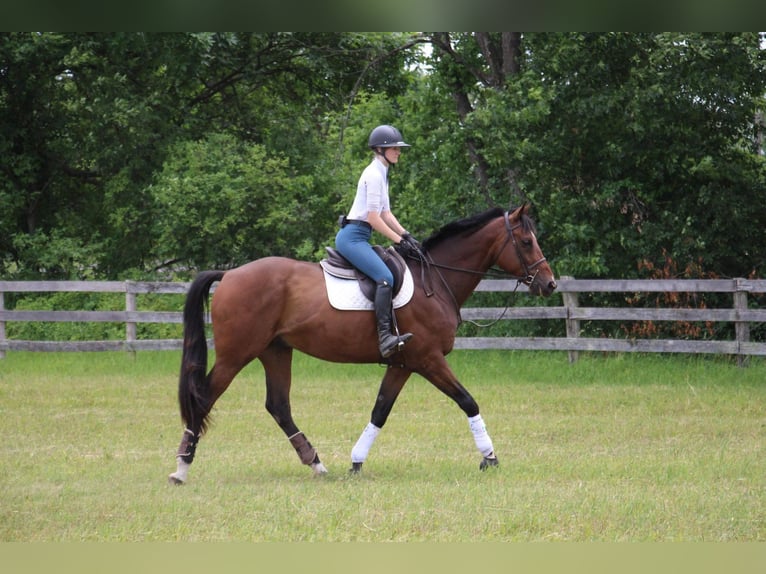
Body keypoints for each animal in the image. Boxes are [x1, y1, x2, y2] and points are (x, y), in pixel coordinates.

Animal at [170, 205, 560, 484]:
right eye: (527, 242)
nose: (550, 284)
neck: (435, 280)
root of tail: (230, 274)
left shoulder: (403, 364)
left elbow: (380, 411)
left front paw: (356, 463)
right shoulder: (428, 359)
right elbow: (467, 401)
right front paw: (489, 457)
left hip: (275, 350)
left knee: (278, 405)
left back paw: (316, 463)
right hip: (237, 354)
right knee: (204, 397)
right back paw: (181, 468)